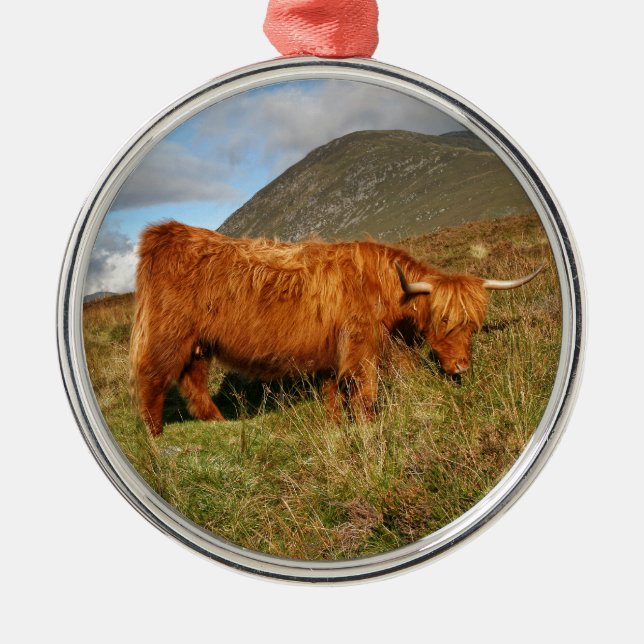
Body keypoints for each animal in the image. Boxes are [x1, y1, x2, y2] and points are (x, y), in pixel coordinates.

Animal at [129, 221, 543, 435]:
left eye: (473, 325)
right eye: (444, 320)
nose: (461, 367)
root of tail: (167, 232)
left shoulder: (333, 352)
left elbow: (332, 393)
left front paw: (333, 425)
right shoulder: (361, 347)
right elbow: (366, 393)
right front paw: (368, 428)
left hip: (199, 343)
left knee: (193, 381)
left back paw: (221, 425)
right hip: (169, 334)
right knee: (152, 378)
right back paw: (155, 436)